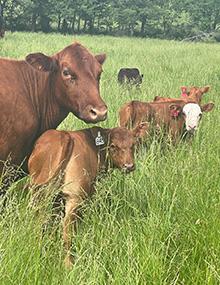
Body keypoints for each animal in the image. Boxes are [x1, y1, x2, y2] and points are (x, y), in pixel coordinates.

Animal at [27, 123, 148, 268]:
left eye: (133, 144)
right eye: (113, 146)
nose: (129, 166)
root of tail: (64, 136)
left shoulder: (58, 199)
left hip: (38, 193)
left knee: (40, 222)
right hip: (74, 198)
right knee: (67, 229)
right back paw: (69, 264)